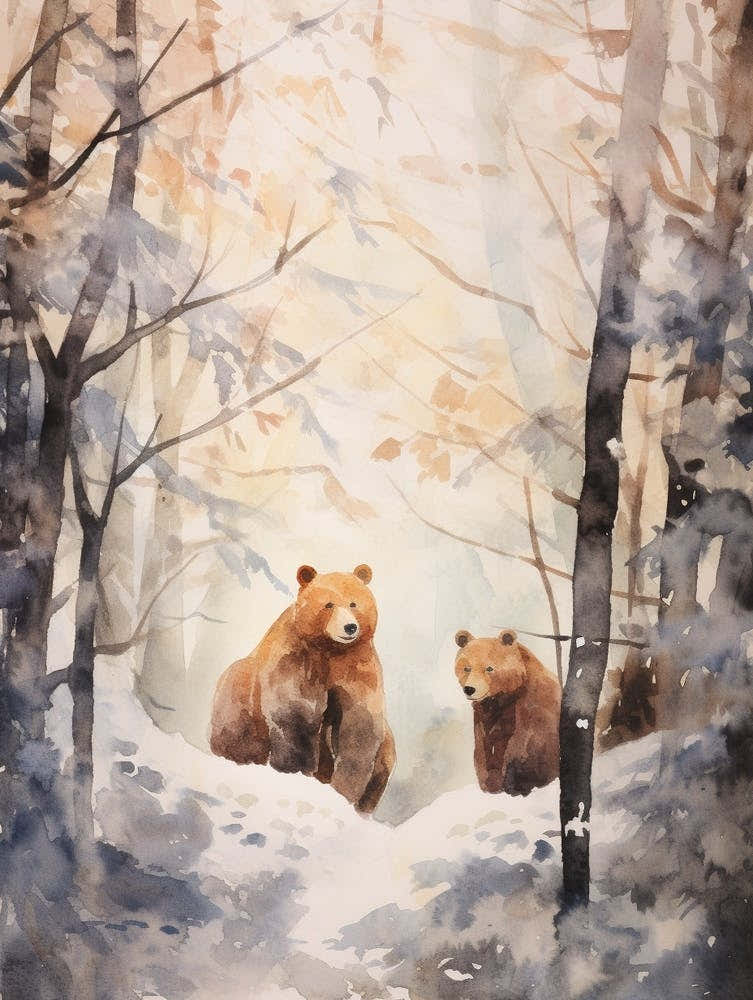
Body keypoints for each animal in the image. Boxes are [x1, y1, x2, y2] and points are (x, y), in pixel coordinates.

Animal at [210, 563, 395, 814]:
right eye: (329, 604)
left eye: (354, 603)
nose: (350, 627)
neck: (330, 649)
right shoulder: (296, 658)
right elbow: (294, 714)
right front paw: (295, 772)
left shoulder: (357, 666)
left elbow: (359, 725)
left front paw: (343, 790)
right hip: (238, 695)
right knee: (238, 736)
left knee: (384, 759)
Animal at [454, 629, 560, 796]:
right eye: (467, 668)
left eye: (489, 668)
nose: (470, 689)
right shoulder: (484, 714)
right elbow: (484, 745)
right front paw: (490, 783)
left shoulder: (533, 705)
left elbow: (524, 742)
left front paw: (513, 783)